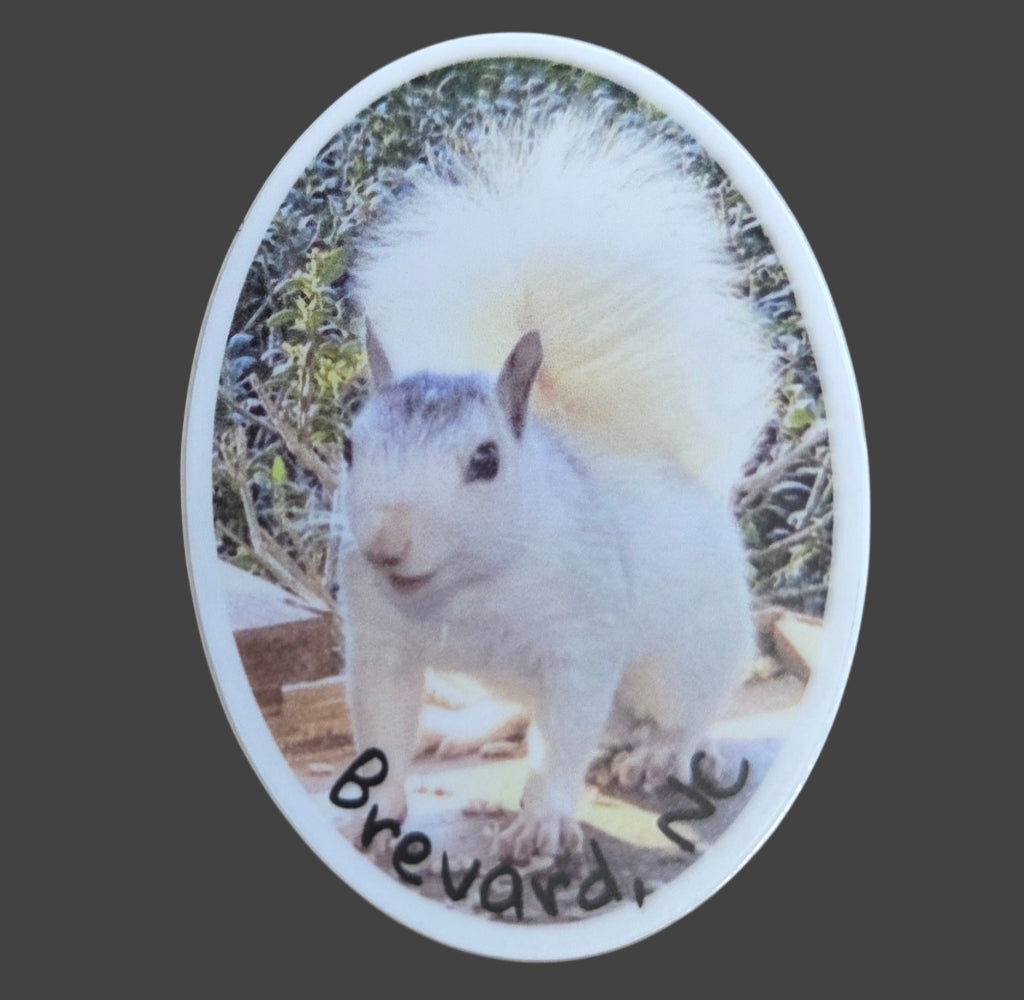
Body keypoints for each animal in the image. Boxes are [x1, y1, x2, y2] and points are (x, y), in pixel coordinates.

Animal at [335, 112, 773, 864]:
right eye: (350, 447)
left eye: (486, 460)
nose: (387, 545)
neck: (468, 590)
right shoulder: (381, 647)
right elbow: (383, 730)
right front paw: (376, 811)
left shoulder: (581, 646)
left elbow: (562, 739)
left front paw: (540, 822)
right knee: (512, 706)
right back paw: (464, 727)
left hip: (684, 659)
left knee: (690, 713)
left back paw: (658, 754)